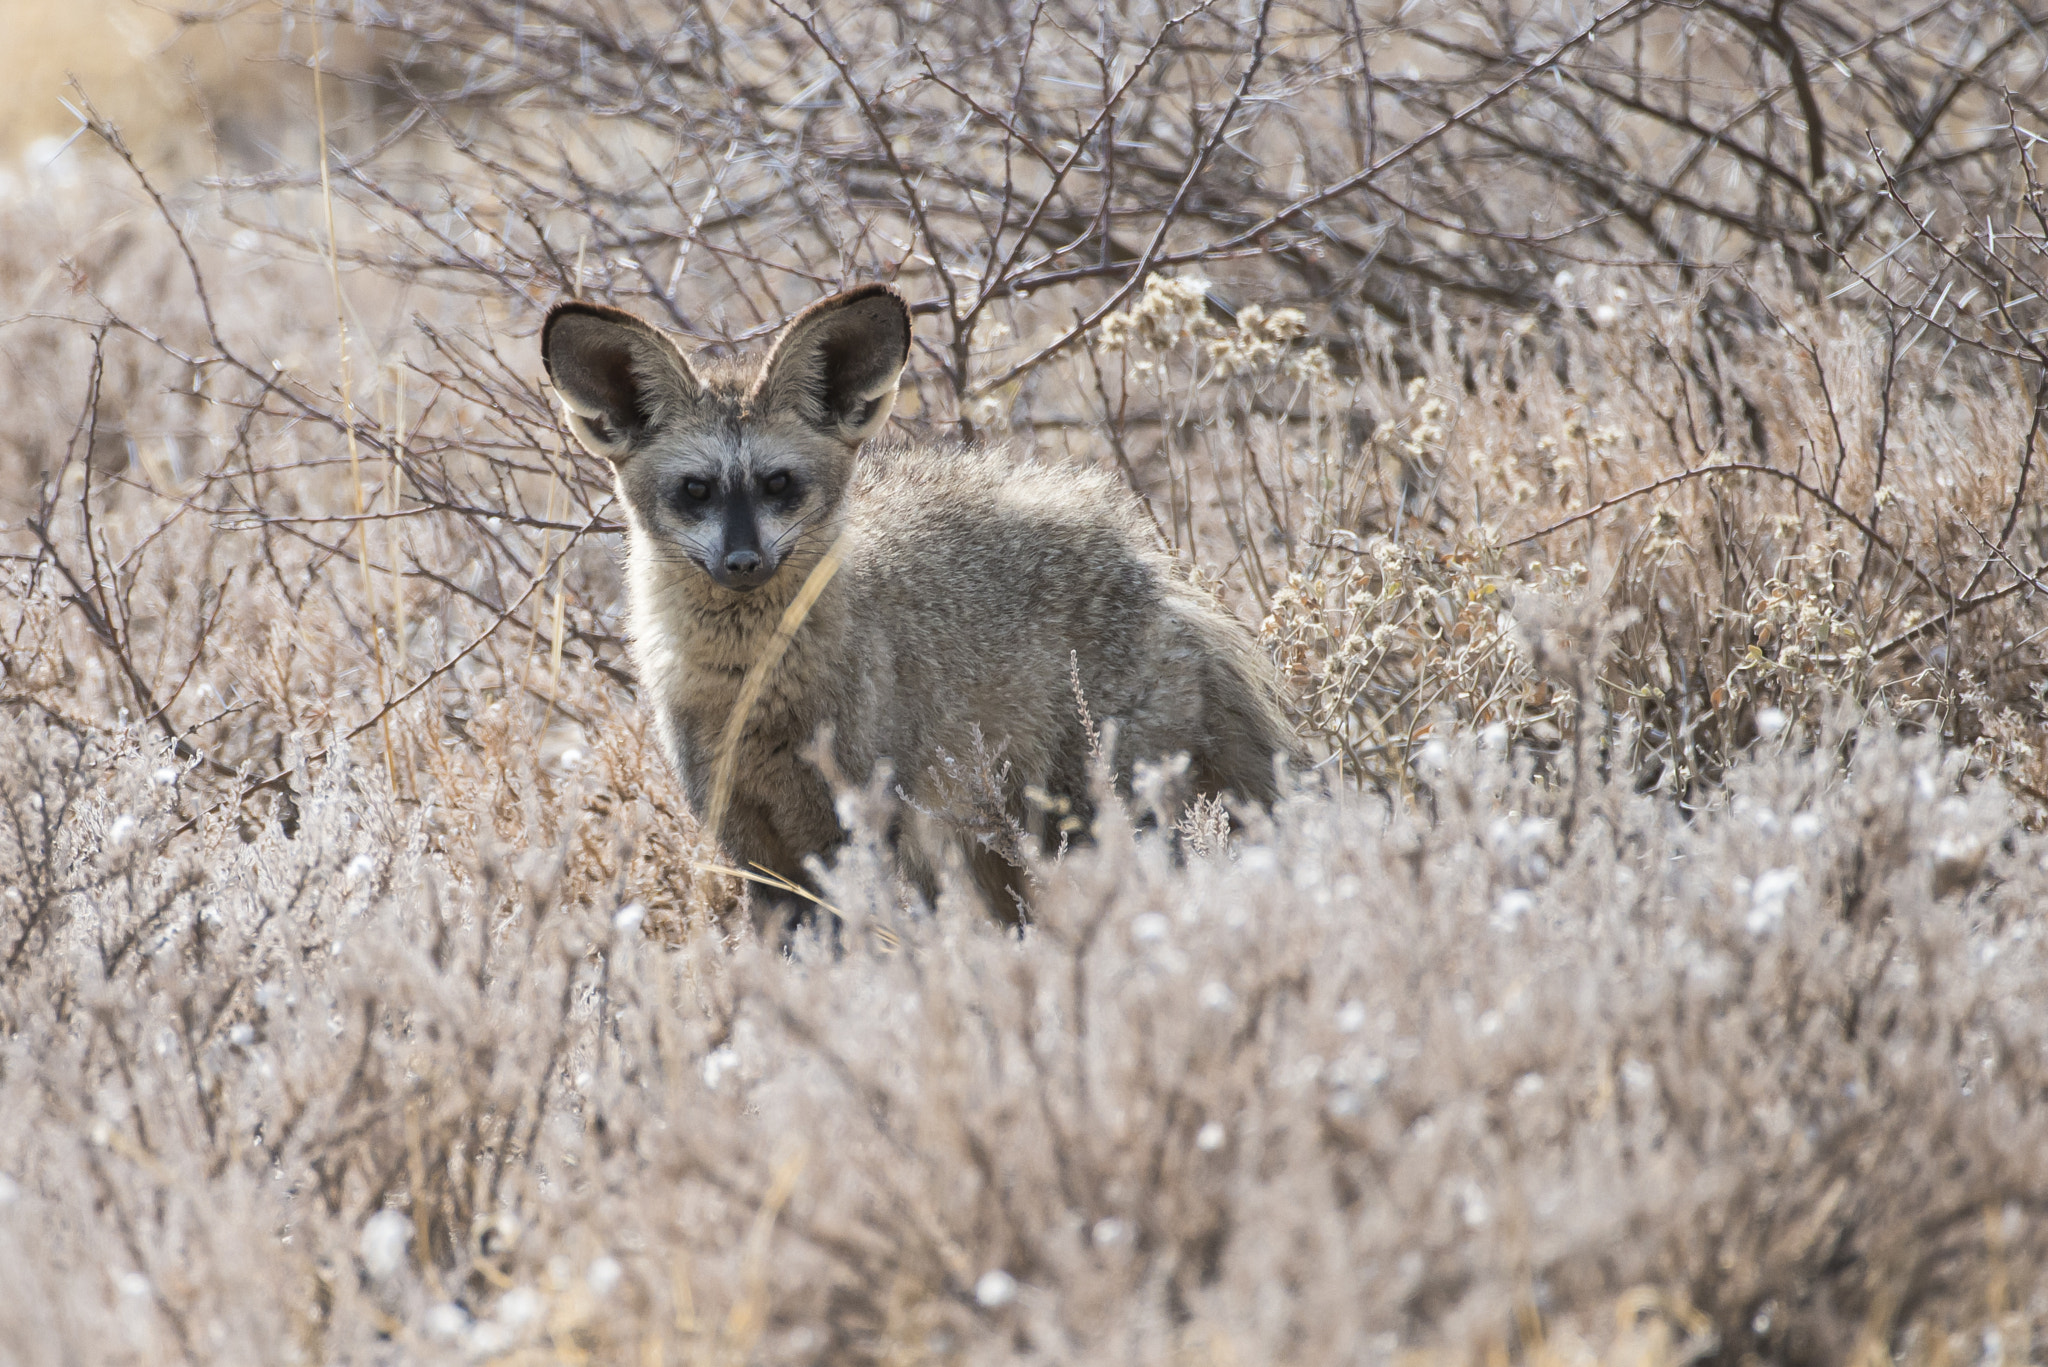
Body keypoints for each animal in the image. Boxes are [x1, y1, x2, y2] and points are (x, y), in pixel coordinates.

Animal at [540, 283, 1293, 929]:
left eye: (779, 484)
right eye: (696, 490)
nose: (743, 562)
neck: (749, 692)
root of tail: (1151, 562)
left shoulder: (852, 822)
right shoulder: (746, 836)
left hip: (1088, 810)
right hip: (990, 843)